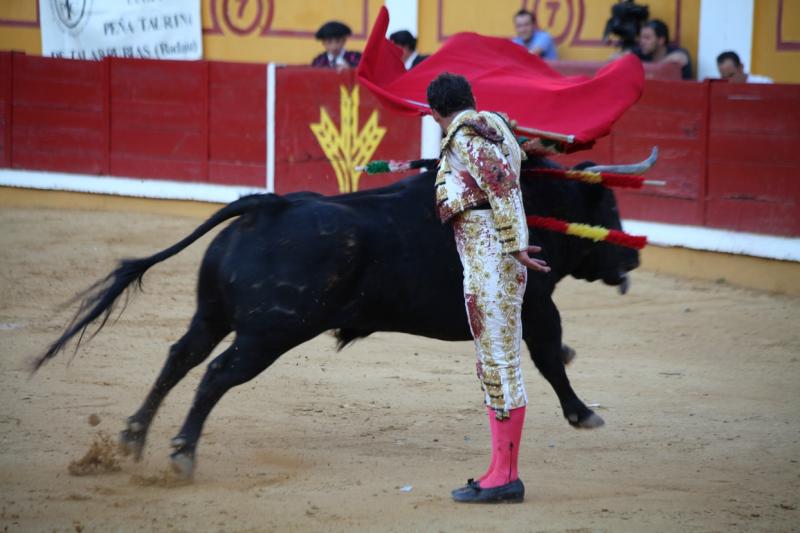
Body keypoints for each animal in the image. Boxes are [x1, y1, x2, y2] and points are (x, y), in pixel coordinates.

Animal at [36, 158, 636, 478]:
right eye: (608, 208)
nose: (630, 259)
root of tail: (269, 205)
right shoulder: (535, 303)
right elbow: (549, 356)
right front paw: (583, 413)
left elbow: (548, 356)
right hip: (270, 333)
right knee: (216, 374)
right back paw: (181, 454)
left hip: (212, 313)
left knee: (180, 357)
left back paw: (133, 437)